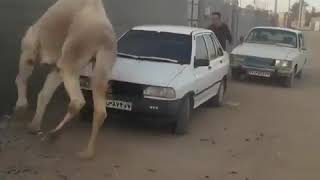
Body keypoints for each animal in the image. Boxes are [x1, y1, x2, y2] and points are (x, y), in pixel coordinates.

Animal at [14, 0, 116, 159]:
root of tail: (102, 39)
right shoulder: (57, 66)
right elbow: (44, 94)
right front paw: (33, 126)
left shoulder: (31, 45)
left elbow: (21, 77)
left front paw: (20, 107)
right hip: (103, 63)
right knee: (100, 109)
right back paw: (87, 152)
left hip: (73, 54)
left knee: (77, 100)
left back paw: (52, 135)